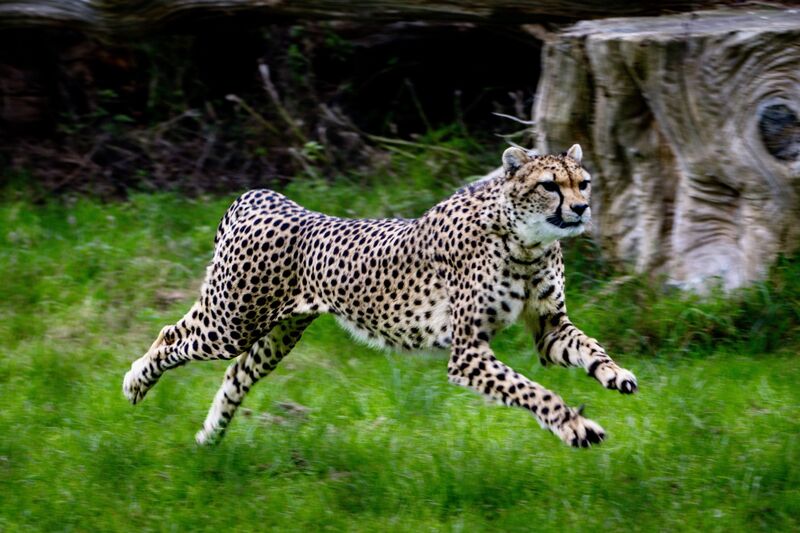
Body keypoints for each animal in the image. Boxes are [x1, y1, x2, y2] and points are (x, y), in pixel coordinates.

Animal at [123, 144, 638, 448]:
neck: (526, 241)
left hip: (278, 333)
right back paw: (134, 383)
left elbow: (588, 348)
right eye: (550, 185)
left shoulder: (549, 330)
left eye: (583, 183)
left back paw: (210, 437)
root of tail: (263, 195)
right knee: (170, 335)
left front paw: (615, 375)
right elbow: (533, 391)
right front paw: (574, 426)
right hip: (231, 321)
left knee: (236, 373)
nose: (581, 208)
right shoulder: (467, 353)